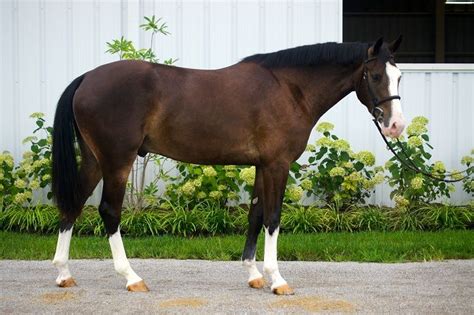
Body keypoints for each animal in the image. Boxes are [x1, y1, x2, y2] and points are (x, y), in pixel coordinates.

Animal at [52, 35, 404, 296]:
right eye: (375, 76)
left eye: (399, 77)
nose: (395, 126)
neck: (289, 89)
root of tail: (86, 79)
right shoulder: (277, 165)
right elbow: (273, 218)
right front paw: (277, 280)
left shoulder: (262, 165)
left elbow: (256, 214)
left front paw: (254, 274)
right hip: (117, 161)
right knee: (109, 211)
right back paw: (131, 277)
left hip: (94, 161)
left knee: (73, 205)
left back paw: (64, 274)